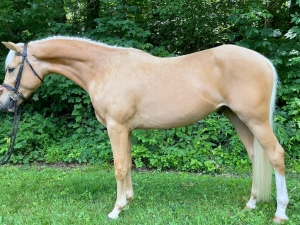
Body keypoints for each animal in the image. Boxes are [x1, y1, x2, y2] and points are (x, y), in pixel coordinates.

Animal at [1, 37, 290, 221]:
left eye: (11, 68)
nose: (5, 104)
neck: (103, 68)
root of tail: (263, 61)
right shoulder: (126, 130)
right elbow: (128, 165)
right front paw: (127, 201)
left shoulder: (116, 127)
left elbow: (119, 167)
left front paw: (116, 210)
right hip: (239, 119)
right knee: (256, 157)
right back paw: (251, 204)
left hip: (255, 120)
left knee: (276, 155)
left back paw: (280, 212)